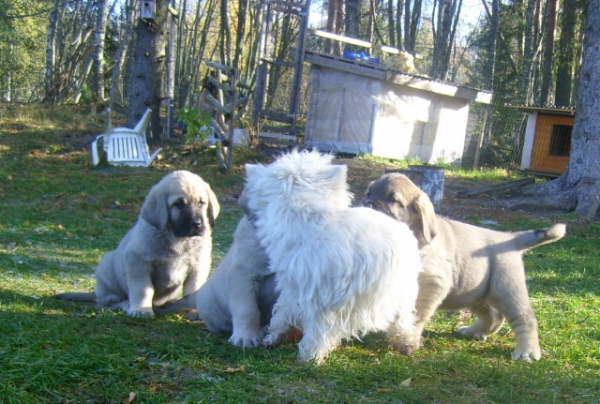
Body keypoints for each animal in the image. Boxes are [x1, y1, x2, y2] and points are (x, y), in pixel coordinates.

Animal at [55, 169, 220, 318]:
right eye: (178, 204)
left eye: (202, 203)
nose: (196, 223)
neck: (177, 238)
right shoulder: (138, 262)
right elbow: (143, 289)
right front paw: (142, 310)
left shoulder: (198, 265)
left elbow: (193, 288)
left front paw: (194, 311)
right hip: (107, 270)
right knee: (111, 301)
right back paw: (127, 304)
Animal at [240, 151, 422, 362]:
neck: (307, 222)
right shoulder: (294, 287)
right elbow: (283, 310)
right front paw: (274, 335)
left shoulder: (319, 296)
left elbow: (315, 327)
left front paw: (310, 356)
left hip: (400, 290)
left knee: (403, 318)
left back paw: (406, 343)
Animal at [364, 173, 564, 360]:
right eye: (368, 192)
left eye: (393, 200)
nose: (367, 207)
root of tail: (509, 238)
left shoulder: (430, 284)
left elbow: (413, 316)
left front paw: (407, 341)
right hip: (474, 292)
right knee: (494, 316)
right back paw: (474, 332)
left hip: (508, 289)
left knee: (524, 318)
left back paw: (526, 352)